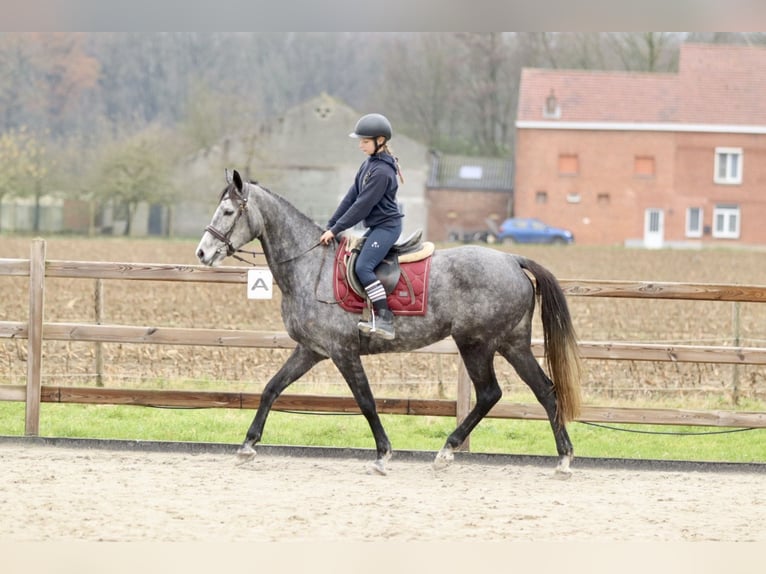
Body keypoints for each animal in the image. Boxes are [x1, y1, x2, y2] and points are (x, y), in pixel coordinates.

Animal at [196, 170, 584, 476]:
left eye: (228, 211)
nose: (202, 252)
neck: (309, 267)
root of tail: (512, 259)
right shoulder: (311, 350)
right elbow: (271, 389)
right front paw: (247, 445)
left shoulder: (343, 352)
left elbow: (366, 402)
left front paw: (383, 454)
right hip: (512, 344)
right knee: (545, 391)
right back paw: (563, 458)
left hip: (477, 344)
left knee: (491, 393)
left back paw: (448, 451)